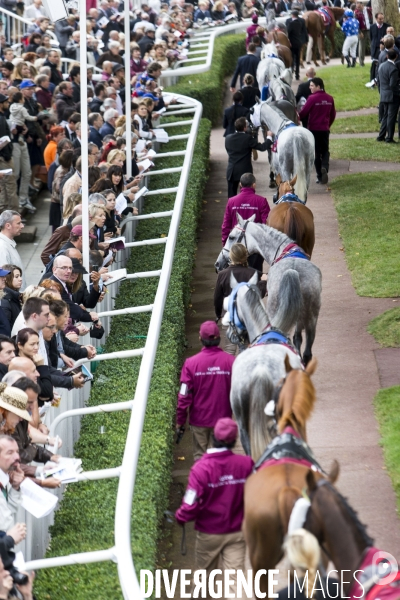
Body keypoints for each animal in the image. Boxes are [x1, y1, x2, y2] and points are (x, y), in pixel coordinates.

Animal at [216, 216, 322, 366]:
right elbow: (297, 340)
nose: (218, 263)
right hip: (312, 317)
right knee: (307, 353)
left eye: (231, 237)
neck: (286, 251)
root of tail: (294, 272)